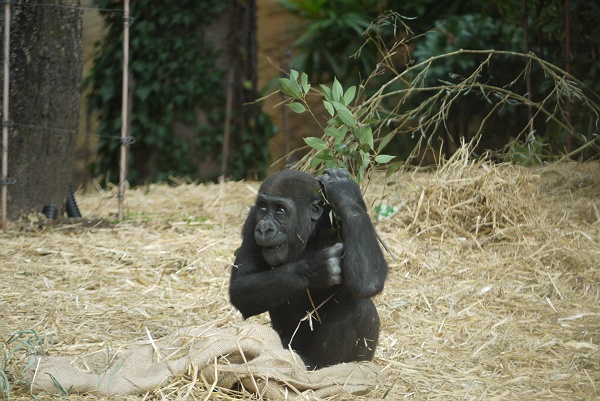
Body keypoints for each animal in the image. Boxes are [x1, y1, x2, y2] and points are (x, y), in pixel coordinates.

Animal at [230, 167, 390, 368]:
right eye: (263, 207)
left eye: (280, 210)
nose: (264, 228)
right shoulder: (252, 219)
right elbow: (241, 286)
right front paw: (315, 269)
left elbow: (370, 280)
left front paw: (345, 192)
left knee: (360, 305)